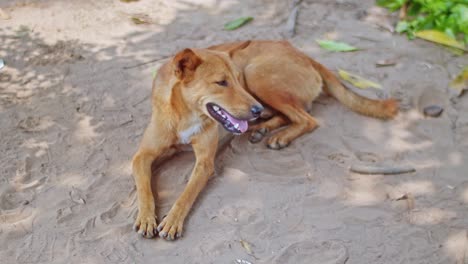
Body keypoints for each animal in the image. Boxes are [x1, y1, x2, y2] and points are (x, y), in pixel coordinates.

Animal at [132, 40, 398, 240]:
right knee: (290, 114)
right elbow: (144, 187)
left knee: (308, 119)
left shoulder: (205, 163)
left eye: (235, 79)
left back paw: (277, 134)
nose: (255, 109)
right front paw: (146, 217)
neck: (184, 115)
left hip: (257, 75)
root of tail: (303, 54)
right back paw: (263, 127)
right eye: (221, 82)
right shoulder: (142, 156)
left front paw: (172, 220)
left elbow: (186, 194)